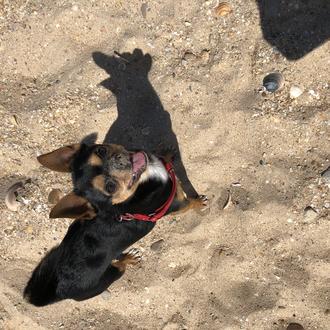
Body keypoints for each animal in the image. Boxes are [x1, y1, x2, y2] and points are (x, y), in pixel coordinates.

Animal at [24, 138, 208, 306]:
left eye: (101, 151)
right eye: (110, 187)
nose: (117, 161)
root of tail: (60, 289)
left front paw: (167, 153)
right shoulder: (178, 204)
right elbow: (190, 203)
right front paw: (199, 203)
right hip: (112, 274)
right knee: (120, 266)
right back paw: (130, 259)